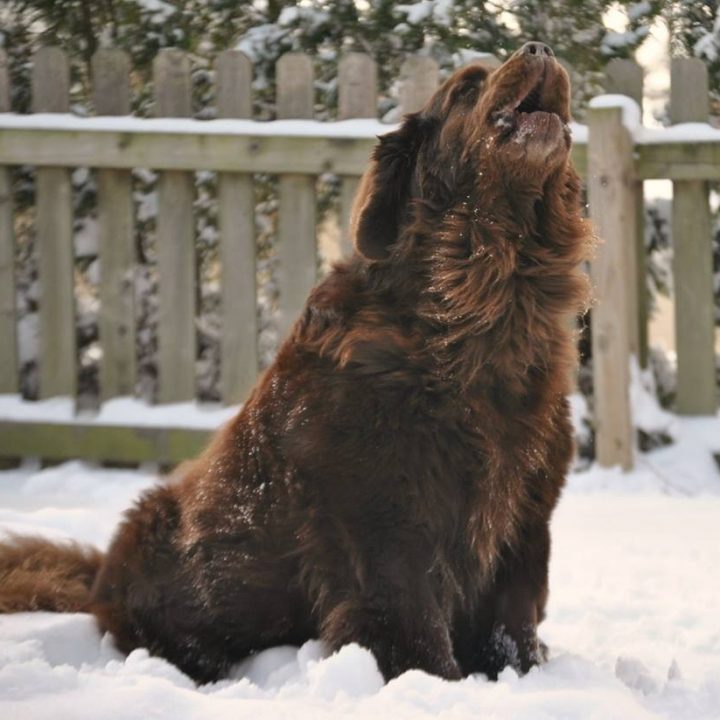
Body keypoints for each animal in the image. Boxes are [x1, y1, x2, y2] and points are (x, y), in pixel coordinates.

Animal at [0, 42, 588, 684]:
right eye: (465, 89)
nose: (540, 48)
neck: (480, 305)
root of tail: (98, 577)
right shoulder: (384, 523)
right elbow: (411, 625)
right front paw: (434, 685)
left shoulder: (525, 517)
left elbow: (513, 620)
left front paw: (525, 678)